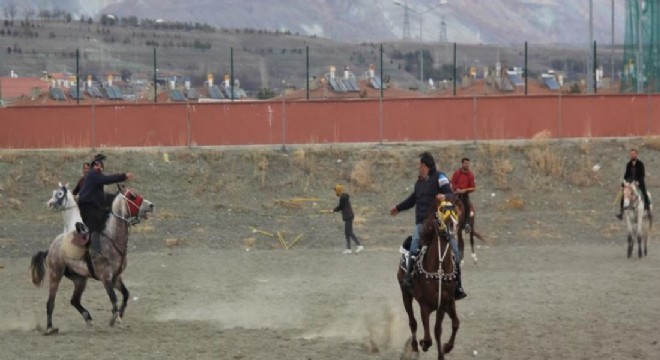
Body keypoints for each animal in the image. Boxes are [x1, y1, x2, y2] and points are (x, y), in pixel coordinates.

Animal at [30, 186, 154, 334]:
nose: (151, 205)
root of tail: (50, 249)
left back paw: (88, 318)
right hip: (55, 275)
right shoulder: (106, 278)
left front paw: (119, 315)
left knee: (74, 300)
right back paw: (50, 328)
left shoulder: (116, 278)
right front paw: (115, 319)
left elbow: (125, 294)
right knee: (50, 302)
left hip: (80, 280)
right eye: (132, 196)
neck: (111, 240)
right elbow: (114, 298)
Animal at [398, 198, 458, 358]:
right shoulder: (424, 306)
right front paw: (423, 344)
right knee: (412, 322)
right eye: (441, 213)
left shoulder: (443, 304)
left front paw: (444, 351)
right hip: (405, 294)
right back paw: (414, 346)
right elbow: (428, 337)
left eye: (455, 213)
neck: (438, 270)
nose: (452, 228)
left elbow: (440, 330)